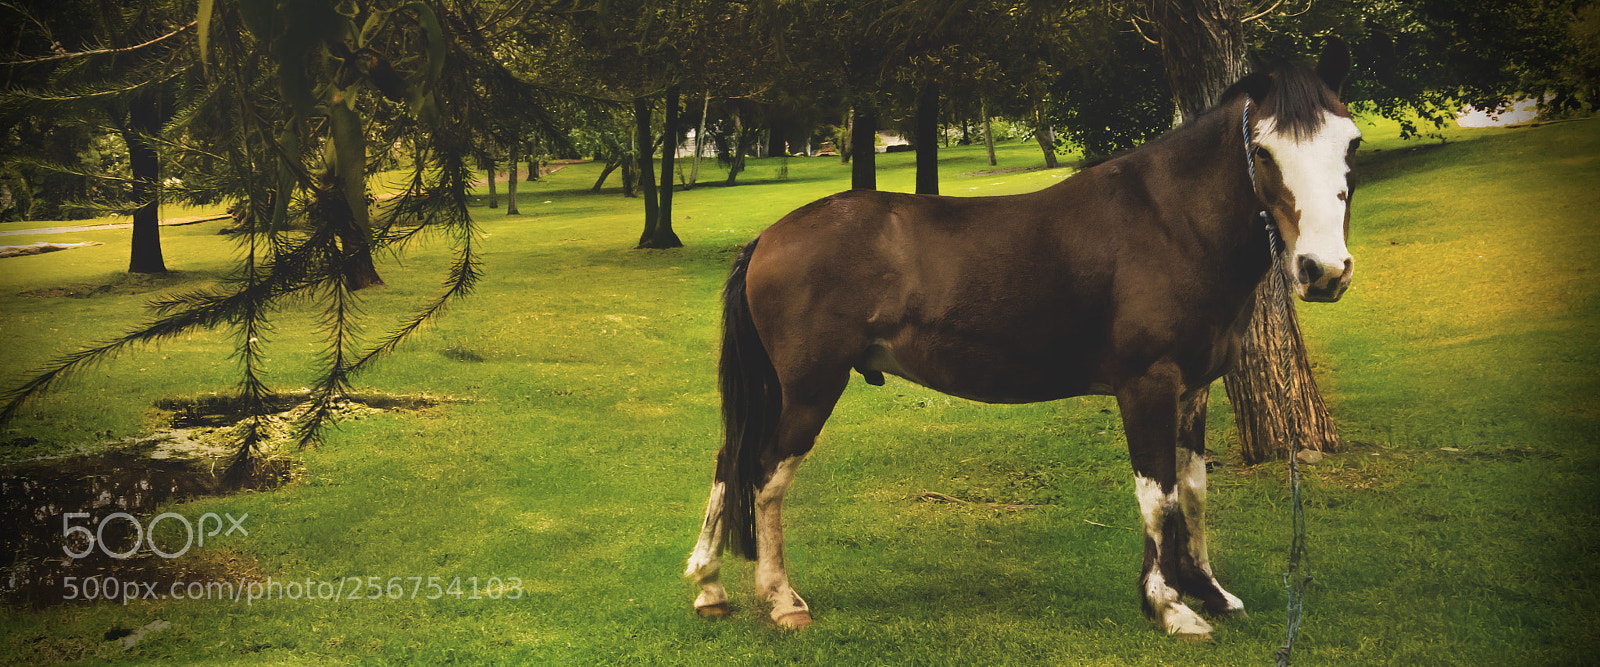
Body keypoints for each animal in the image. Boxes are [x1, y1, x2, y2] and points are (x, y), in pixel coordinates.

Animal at [685, 43, 1361, 641]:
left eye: (1349, 142)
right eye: (1262, 149)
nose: (1322, 270)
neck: (1172, 223)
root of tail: (767, 238)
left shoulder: (1193, 388)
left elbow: (1191, 493)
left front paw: (1209, 592)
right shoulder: (1146, 385)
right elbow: (1157, 495)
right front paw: (1169, 607)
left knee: (731, 462)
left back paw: (710, 587)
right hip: (808, 390)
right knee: (764, 476)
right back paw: (781, 600)